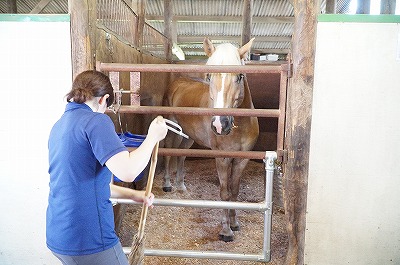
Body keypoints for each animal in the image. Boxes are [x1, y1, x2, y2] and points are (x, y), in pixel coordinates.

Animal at [162, 37, 260, 241]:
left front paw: (234, 223)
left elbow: (235, 192)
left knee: (181, 155)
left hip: (189, 136)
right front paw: (226, 231)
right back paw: (167, 185)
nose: (220, 124)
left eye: (239, 76)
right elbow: (224, 193)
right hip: (172, 128)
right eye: (209, 76)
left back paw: (181, 186)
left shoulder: (242, 159)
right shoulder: (222, 159)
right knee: (168, 152)